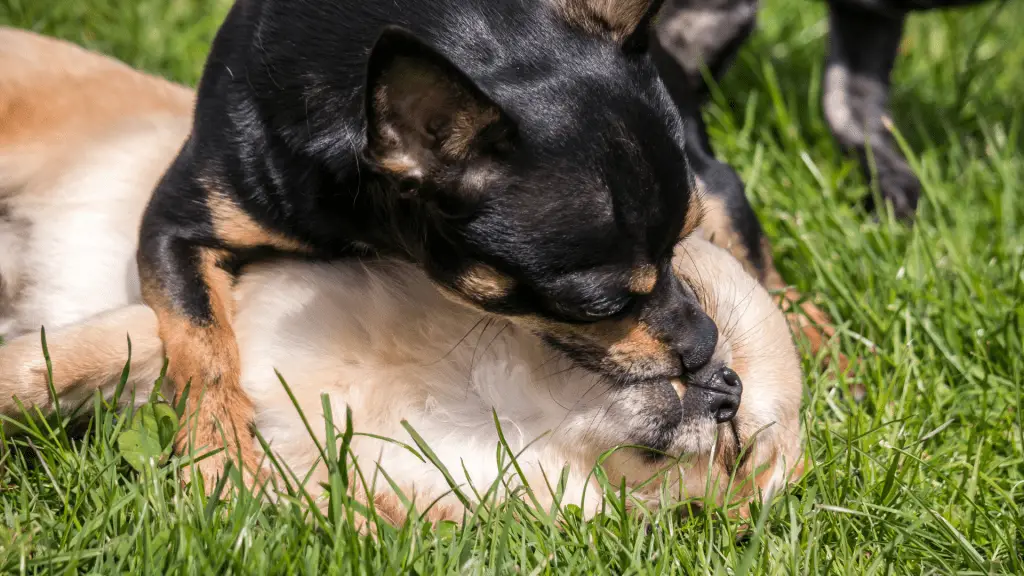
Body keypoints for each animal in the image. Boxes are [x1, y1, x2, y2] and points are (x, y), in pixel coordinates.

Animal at [0, 26, 806, 520]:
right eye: (691, 296)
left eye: (735, 453)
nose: (723, 382)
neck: (498, 399)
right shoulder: (181, 322)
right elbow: (49, 368)